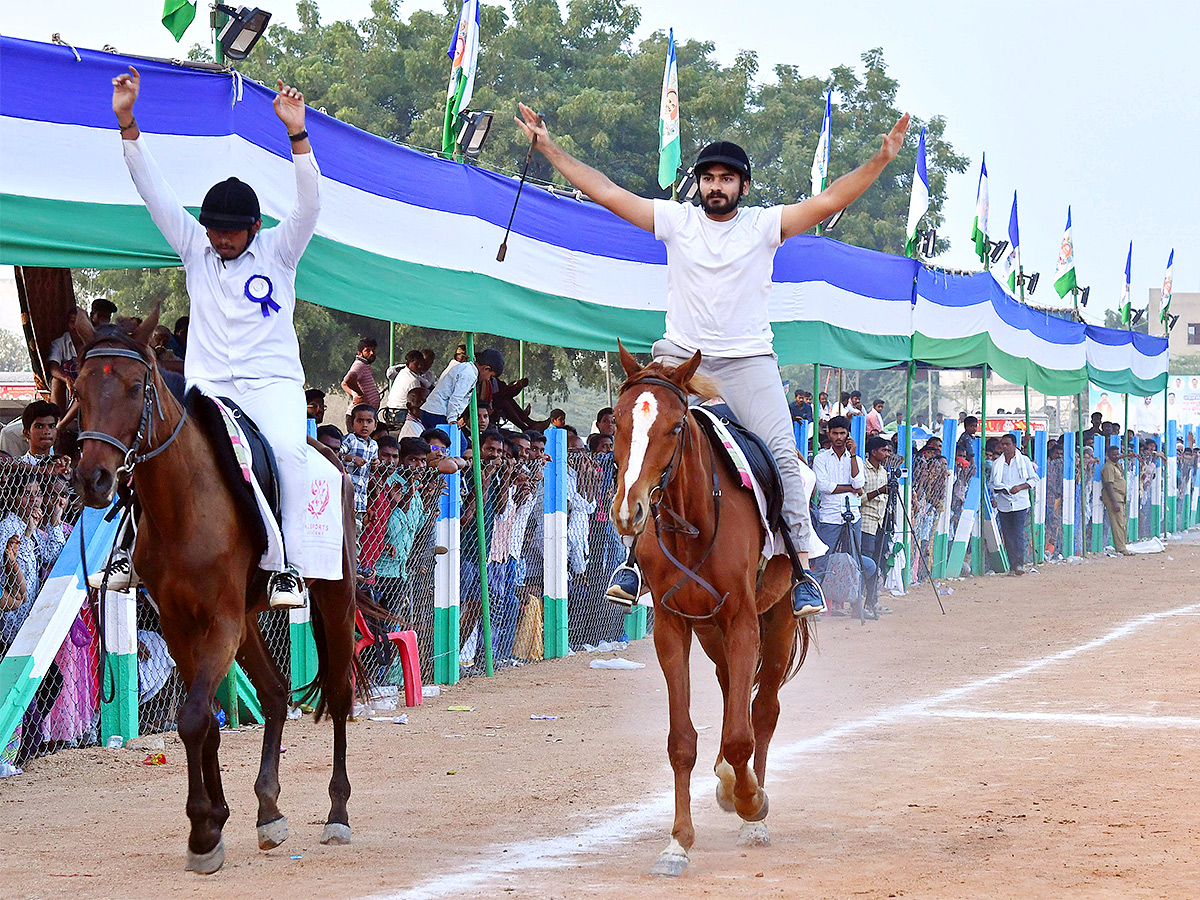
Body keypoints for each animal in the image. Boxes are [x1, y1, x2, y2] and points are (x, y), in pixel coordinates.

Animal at [69, 309, 357, 873]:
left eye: (135, 387)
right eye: (80, 388)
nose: (95, 479)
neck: (183, 502)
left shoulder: (219, 620)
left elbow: (193, 716)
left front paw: (203, 829)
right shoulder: (182, 625)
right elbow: (205, 722)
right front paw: (215, 818)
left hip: (334, 597)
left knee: (337, 694)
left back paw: (337, 813)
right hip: (246, 620)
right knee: (273, 693)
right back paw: (269, 810)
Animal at [614, 345, 811, 883]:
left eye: (675, 427)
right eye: (617, 420)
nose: (629, 511)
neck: (694, 521)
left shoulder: (744, 620)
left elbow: (744, 734)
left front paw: (750, 802)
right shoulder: (673, 626)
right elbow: (682, 740)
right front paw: (678, 844)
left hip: (777, 618)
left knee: (763, 710)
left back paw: (750, 809)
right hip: (710, 632)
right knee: (730, 690)